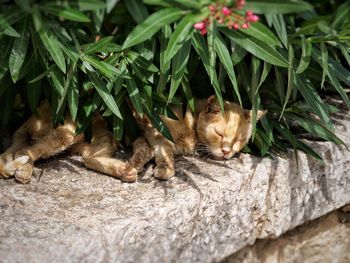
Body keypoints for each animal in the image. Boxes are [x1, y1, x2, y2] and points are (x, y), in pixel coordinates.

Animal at [0, 96, 266, 185]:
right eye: (220, 134)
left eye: (239, 140)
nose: (227, 151)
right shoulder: (150, 124)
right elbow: (165, 155)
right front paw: (164, 169)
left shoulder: (142, 140)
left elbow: (144, 153)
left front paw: (135, 165)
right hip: (72, 130)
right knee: (29, 152)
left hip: (101, 137)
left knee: (87, 157)